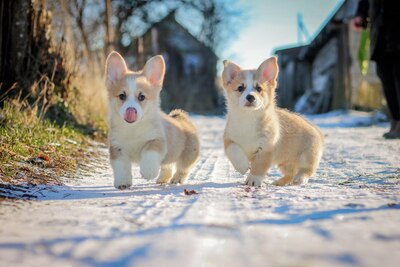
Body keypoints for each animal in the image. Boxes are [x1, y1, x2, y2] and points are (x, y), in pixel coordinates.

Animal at [105, 51, 199, 191]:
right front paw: (122, 183)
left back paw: (177, 179)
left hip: (188, 155)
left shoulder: (156, 141)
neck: (133, 129)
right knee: (167, 166)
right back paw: (162, 179)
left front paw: (148, 172)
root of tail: (182, 118)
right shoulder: (117, 148)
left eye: (141, 97)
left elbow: (149, 154)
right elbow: (121, 166)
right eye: (122, 96)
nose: (130, 110)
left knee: (183, 168)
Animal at [220, 57, 324, 186]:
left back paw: (300, 179)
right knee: (290, 174)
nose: (250, 97)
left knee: (306, 170)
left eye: (259, 88)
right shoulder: (229, 139)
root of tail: (317, 130)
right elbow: (234, 151)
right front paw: (243, 166)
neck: (249, 117)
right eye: (240, 88)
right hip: (284, 163)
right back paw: (278, 182)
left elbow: (259, 166)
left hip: (307, 156)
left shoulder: (266, 147)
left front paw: (253, 180)